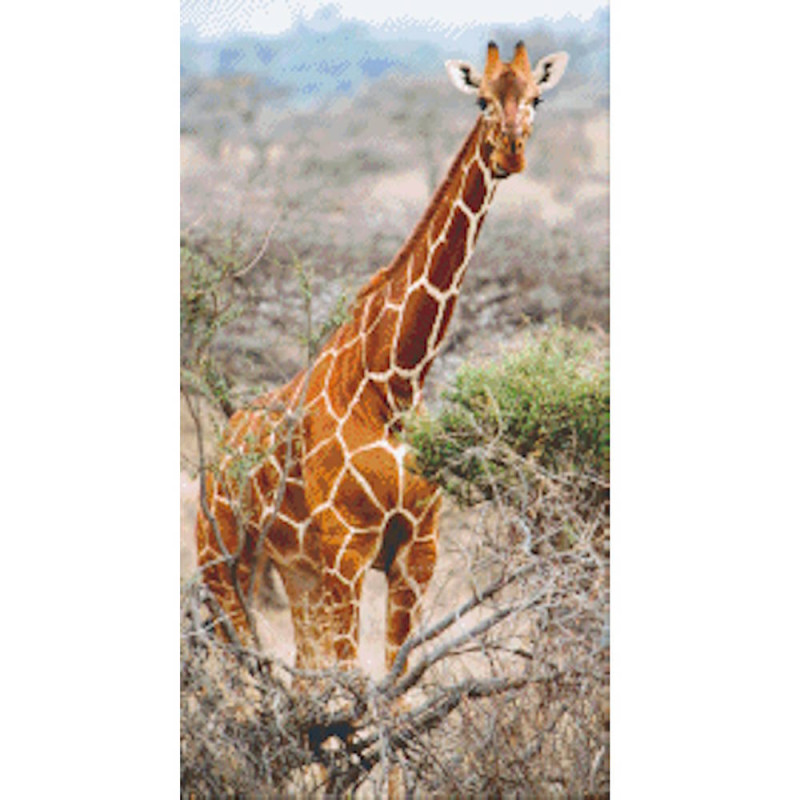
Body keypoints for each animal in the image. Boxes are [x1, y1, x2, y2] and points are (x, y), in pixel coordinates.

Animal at [195, 42, 569, 677]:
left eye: (537, 97)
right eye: (481, 98)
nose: (510, 152)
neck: (394, 385)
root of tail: (220, 449)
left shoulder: (416, 551)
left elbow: (397, 684)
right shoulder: (347, 549)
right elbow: (356, 685)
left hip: (296, 575)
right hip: (222, 566)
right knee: (247, 681)